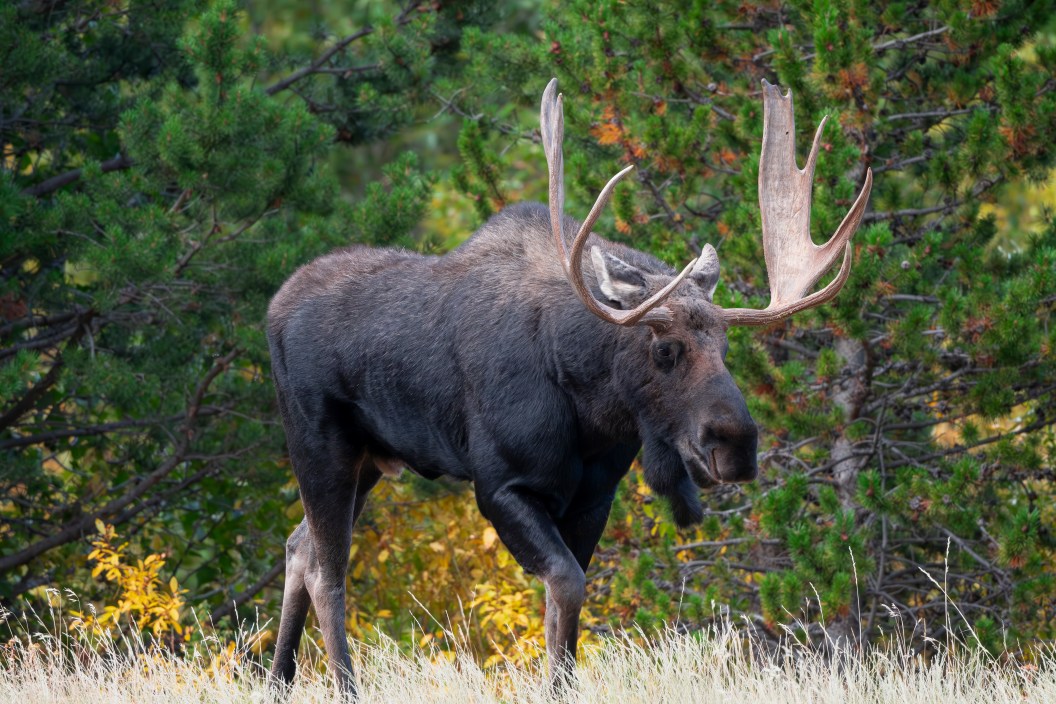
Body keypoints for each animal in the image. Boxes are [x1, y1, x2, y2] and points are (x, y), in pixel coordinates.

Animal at [266, 77, 874, 692]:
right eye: (664, 349)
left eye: (725, 347)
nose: (737, 445)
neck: (589, 410)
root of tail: (272, 309)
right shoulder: (500, 485)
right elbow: (566, 586)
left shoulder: (594, 496)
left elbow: (565, 610)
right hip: (320, 446)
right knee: (327, 570)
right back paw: (342, 684)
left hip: (368, 460)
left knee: (298, 547)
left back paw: (278, 678)